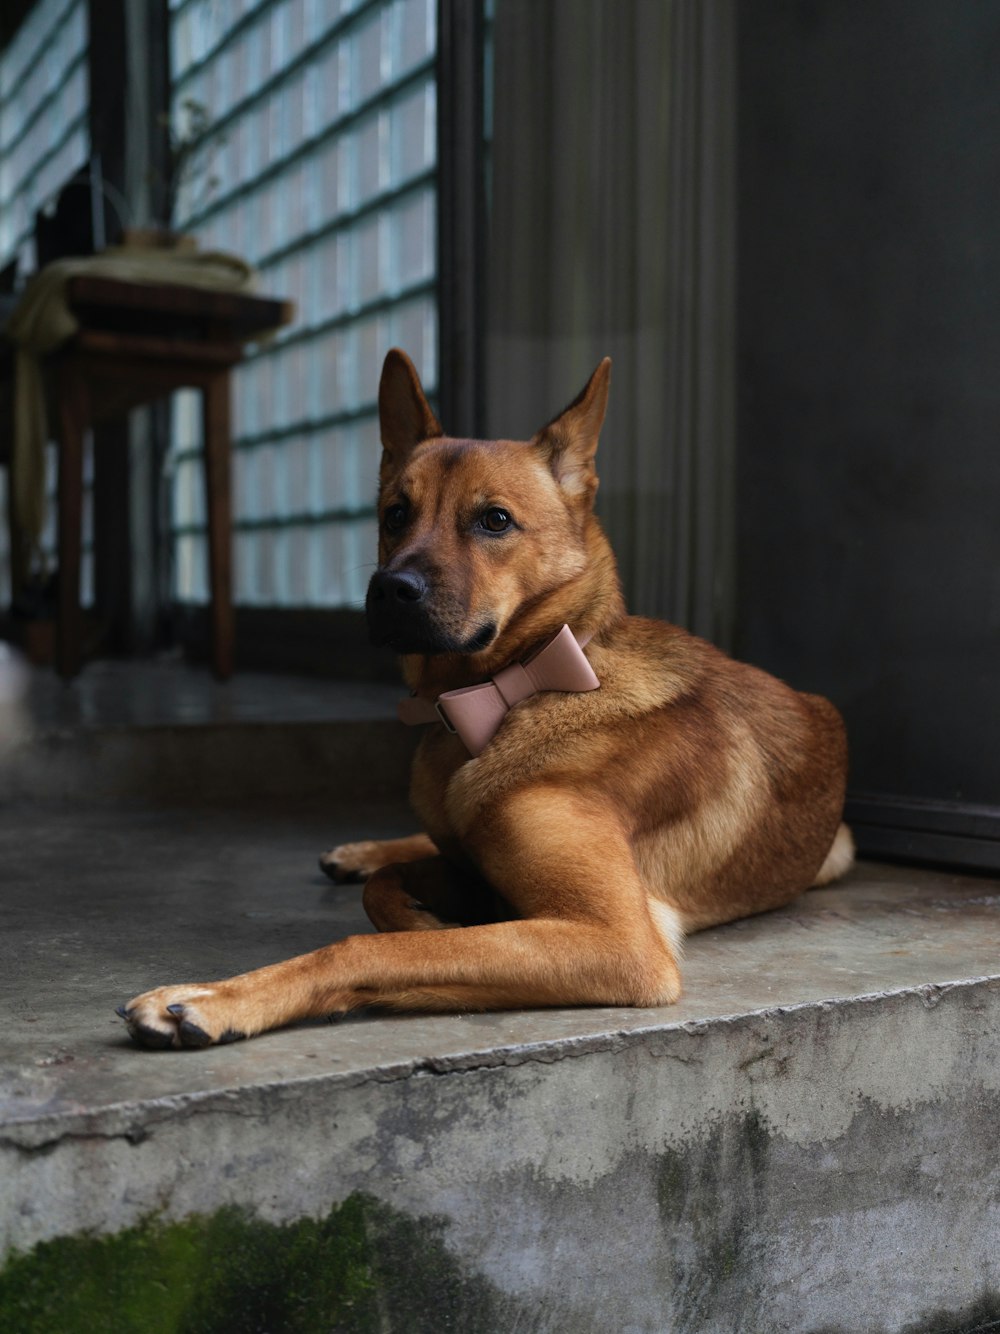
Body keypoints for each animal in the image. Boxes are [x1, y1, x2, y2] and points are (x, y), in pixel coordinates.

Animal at [119, 349, 853, 1045]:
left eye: (495, 520)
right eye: (395, 515)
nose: (389, 590)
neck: (507, 692)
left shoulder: (617, 941)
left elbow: (364, 949)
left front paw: (221, 998)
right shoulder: (473, 869)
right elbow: (395, 893)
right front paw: (411, 906)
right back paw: (364, 852)